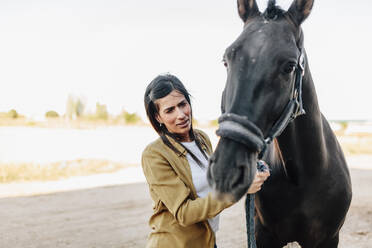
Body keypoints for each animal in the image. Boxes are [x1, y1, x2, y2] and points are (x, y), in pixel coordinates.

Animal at [208, 0, 354, 247]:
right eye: (226, 60)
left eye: (289, 66)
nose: (225, 170)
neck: (303, 178)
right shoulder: (263, 236)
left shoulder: (328, 239)